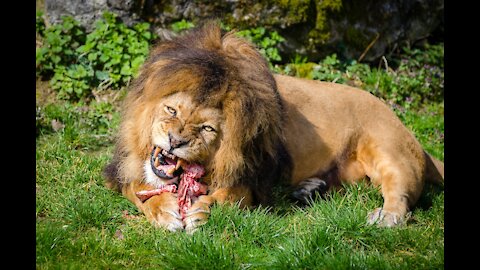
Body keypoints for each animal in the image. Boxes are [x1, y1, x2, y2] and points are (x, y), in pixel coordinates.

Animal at [103, 21, 444, 233]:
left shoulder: (252, 181)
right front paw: (164, 211)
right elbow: (140, 189)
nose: (175, 141)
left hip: (389, 151)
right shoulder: (123, 169)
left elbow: (227, 197)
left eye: (207, 129)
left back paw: (385, 217)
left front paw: (201, 211)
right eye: (171, 109)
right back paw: (308, 189)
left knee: (401, 195)